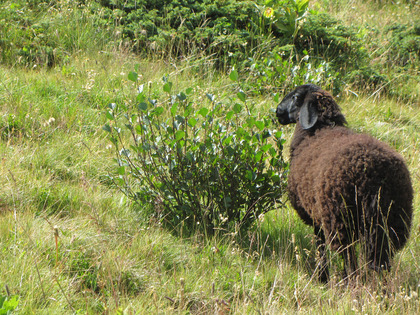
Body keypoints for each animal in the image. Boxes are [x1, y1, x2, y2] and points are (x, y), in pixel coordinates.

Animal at [276, 83, 414, 282]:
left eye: (295, 97)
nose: (277, 111)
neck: (318, 131)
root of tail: (374, 174)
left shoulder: (317, 216)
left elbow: (320, 248)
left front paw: (322, 278)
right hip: (393, 222)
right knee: (381, 262)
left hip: (340, 218)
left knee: (350, 258)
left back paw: (350, 283)